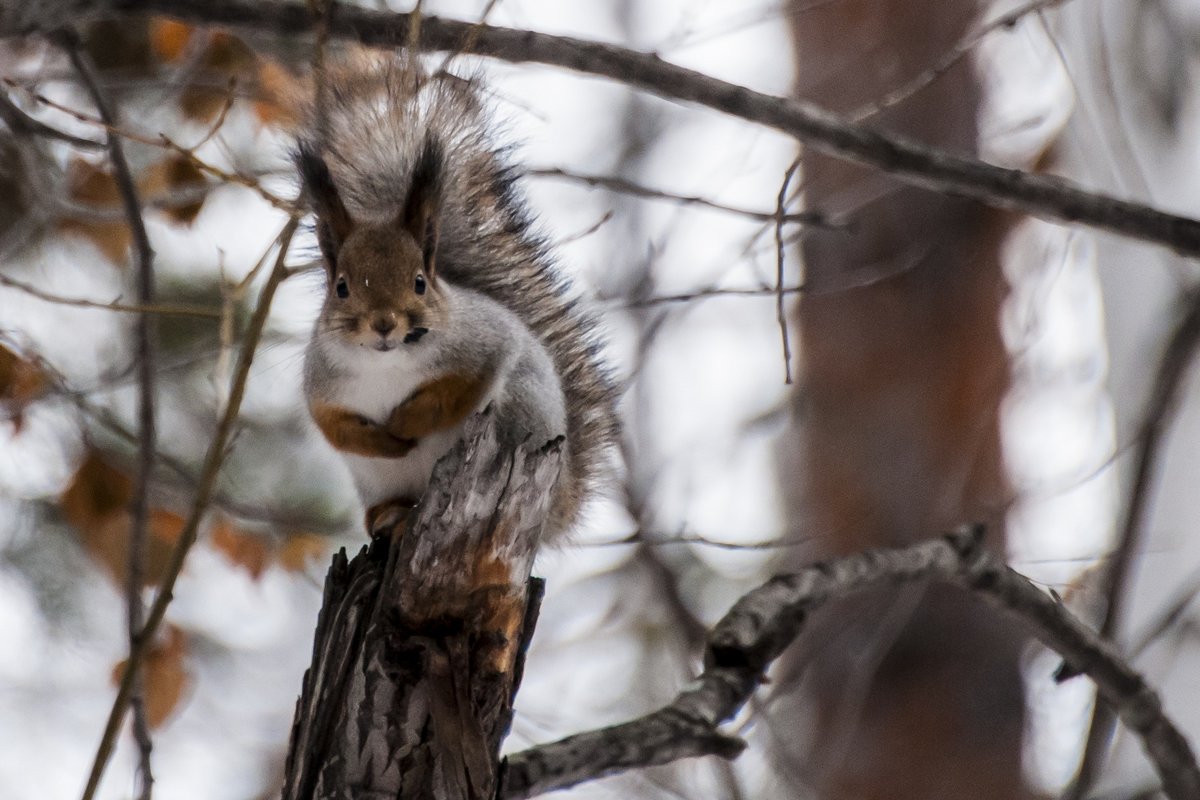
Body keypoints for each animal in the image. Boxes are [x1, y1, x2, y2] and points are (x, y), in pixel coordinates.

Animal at [298, 57, 614, 537]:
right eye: (341, 287)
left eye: (419, 282)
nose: (385, 323)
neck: (386, 363)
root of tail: (557, 501)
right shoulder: (322, 381)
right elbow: (332, 424)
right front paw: (382, 439)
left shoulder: (487, 343)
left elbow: (459, 392)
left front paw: (406, 421)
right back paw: (387, 514)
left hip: (520, 412)